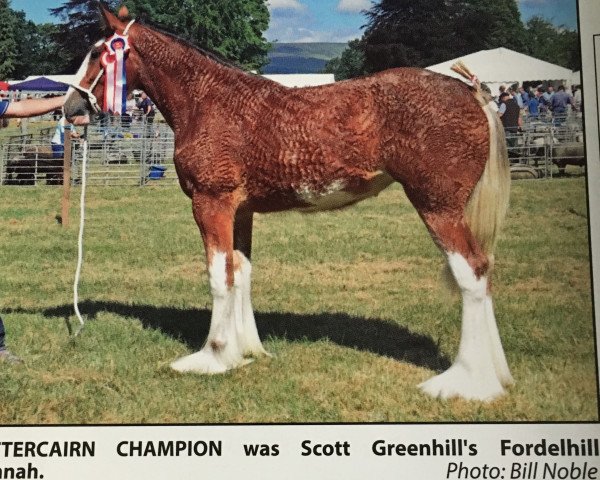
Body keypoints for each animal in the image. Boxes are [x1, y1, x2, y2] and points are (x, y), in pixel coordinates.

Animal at [64, 5, 516, 402]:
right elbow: (240, 273)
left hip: (438, 207)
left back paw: (466, 381)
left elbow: (218, 277)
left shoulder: (212, 204)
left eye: (98, 52)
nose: (71, 108)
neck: (208, 101)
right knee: (484, 271)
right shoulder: (242, 211)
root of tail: (473, 93)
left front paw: (212, 356)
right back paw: (495, 375)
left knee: (472, 272)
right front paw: (245, 351)